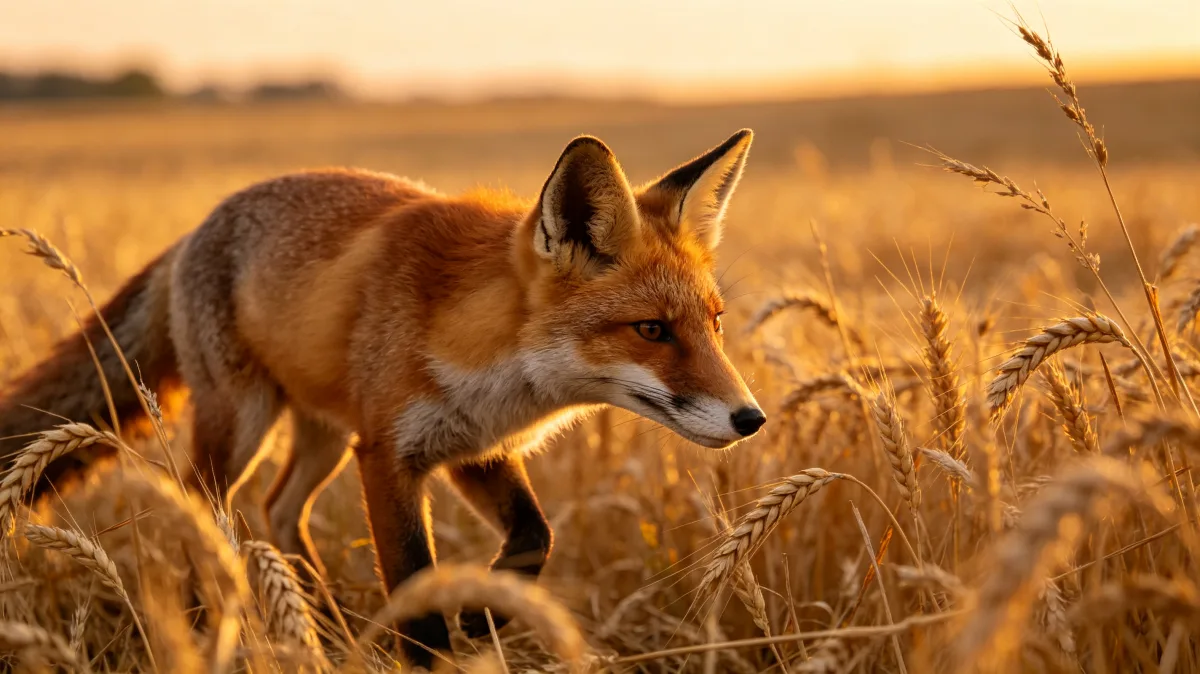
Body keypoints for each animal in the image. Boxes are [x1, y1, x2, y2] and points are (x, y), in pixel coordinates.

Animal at [0, 129, 766, 666]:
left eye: (716, 323)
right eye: (652, 330)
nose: (752, 418)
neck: (493, 361)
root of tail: (194, 230)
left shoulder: (470, 447)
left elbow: (534, 538)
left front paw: (486, 614)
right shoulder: (391, 455)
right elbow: (416, 597)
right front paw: (438, 644)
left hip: (325, 434)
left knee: (280, 509)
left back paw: (326, 626)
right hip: (246, 424)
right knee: (201, 508)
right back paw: (207, 624)